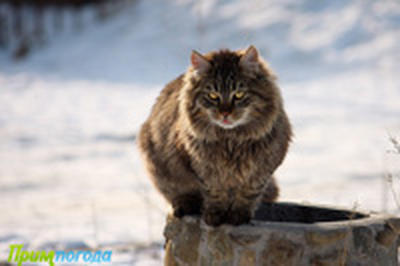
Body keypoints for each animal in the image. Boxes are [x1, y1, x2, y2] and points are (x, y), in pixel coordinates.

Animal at [138, 46, 290, 227]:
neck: (231, 140)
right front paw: (214, 216)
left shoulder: (263, 167)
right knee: (177, 194)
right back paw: (184, 206)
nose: (225, 113)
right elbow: (214, 192)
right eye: (213, 96)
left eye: (239, 94)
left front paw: (238, 216)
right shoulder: (203, 167)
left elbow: (248, 193)